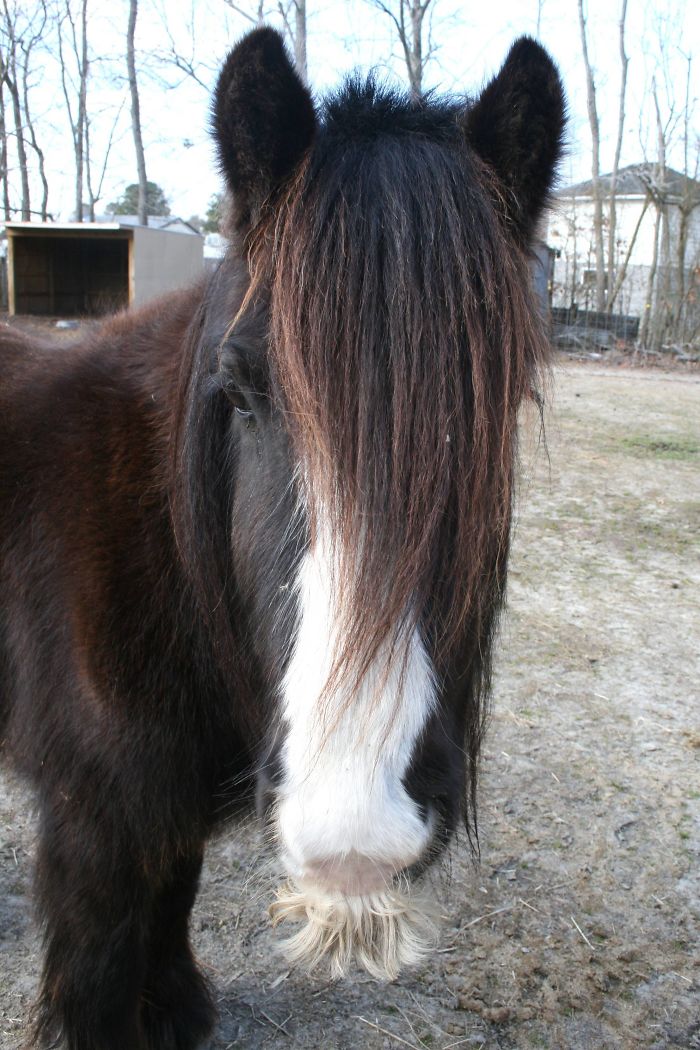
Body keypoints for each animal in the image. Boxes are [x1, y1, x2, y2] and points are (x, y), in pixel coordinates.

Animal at [0, 24, 562, 1050]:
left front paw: (175, 1007)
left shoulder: (169, 814)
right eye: (239, 389)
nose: (356, 825)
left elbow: (173, 894)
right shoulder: (91, 827)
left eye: (500, 406)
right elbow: (97, 973)